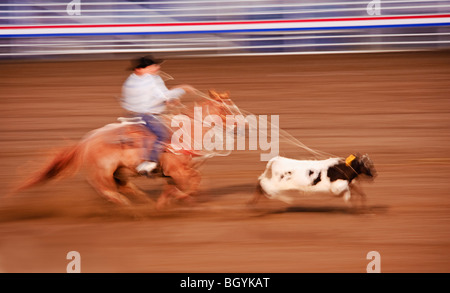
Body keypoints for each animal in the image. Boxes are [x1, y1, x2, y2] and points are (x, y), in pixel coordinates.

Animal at [14, 89, 239, 208]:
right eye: (225, 108)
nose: (239, 124)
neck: (187, 131)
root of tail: (86, 142)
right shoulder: (177, 170)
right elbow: (193, 183)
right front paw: (184, 198)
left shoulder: (176, 172)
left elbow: (182, 185)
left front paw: (164, 204)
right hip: (102, 175)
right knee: (112, 193)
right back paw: (132, 210)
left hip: (119, 172)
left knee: (125, 188)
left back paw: (145, 203)